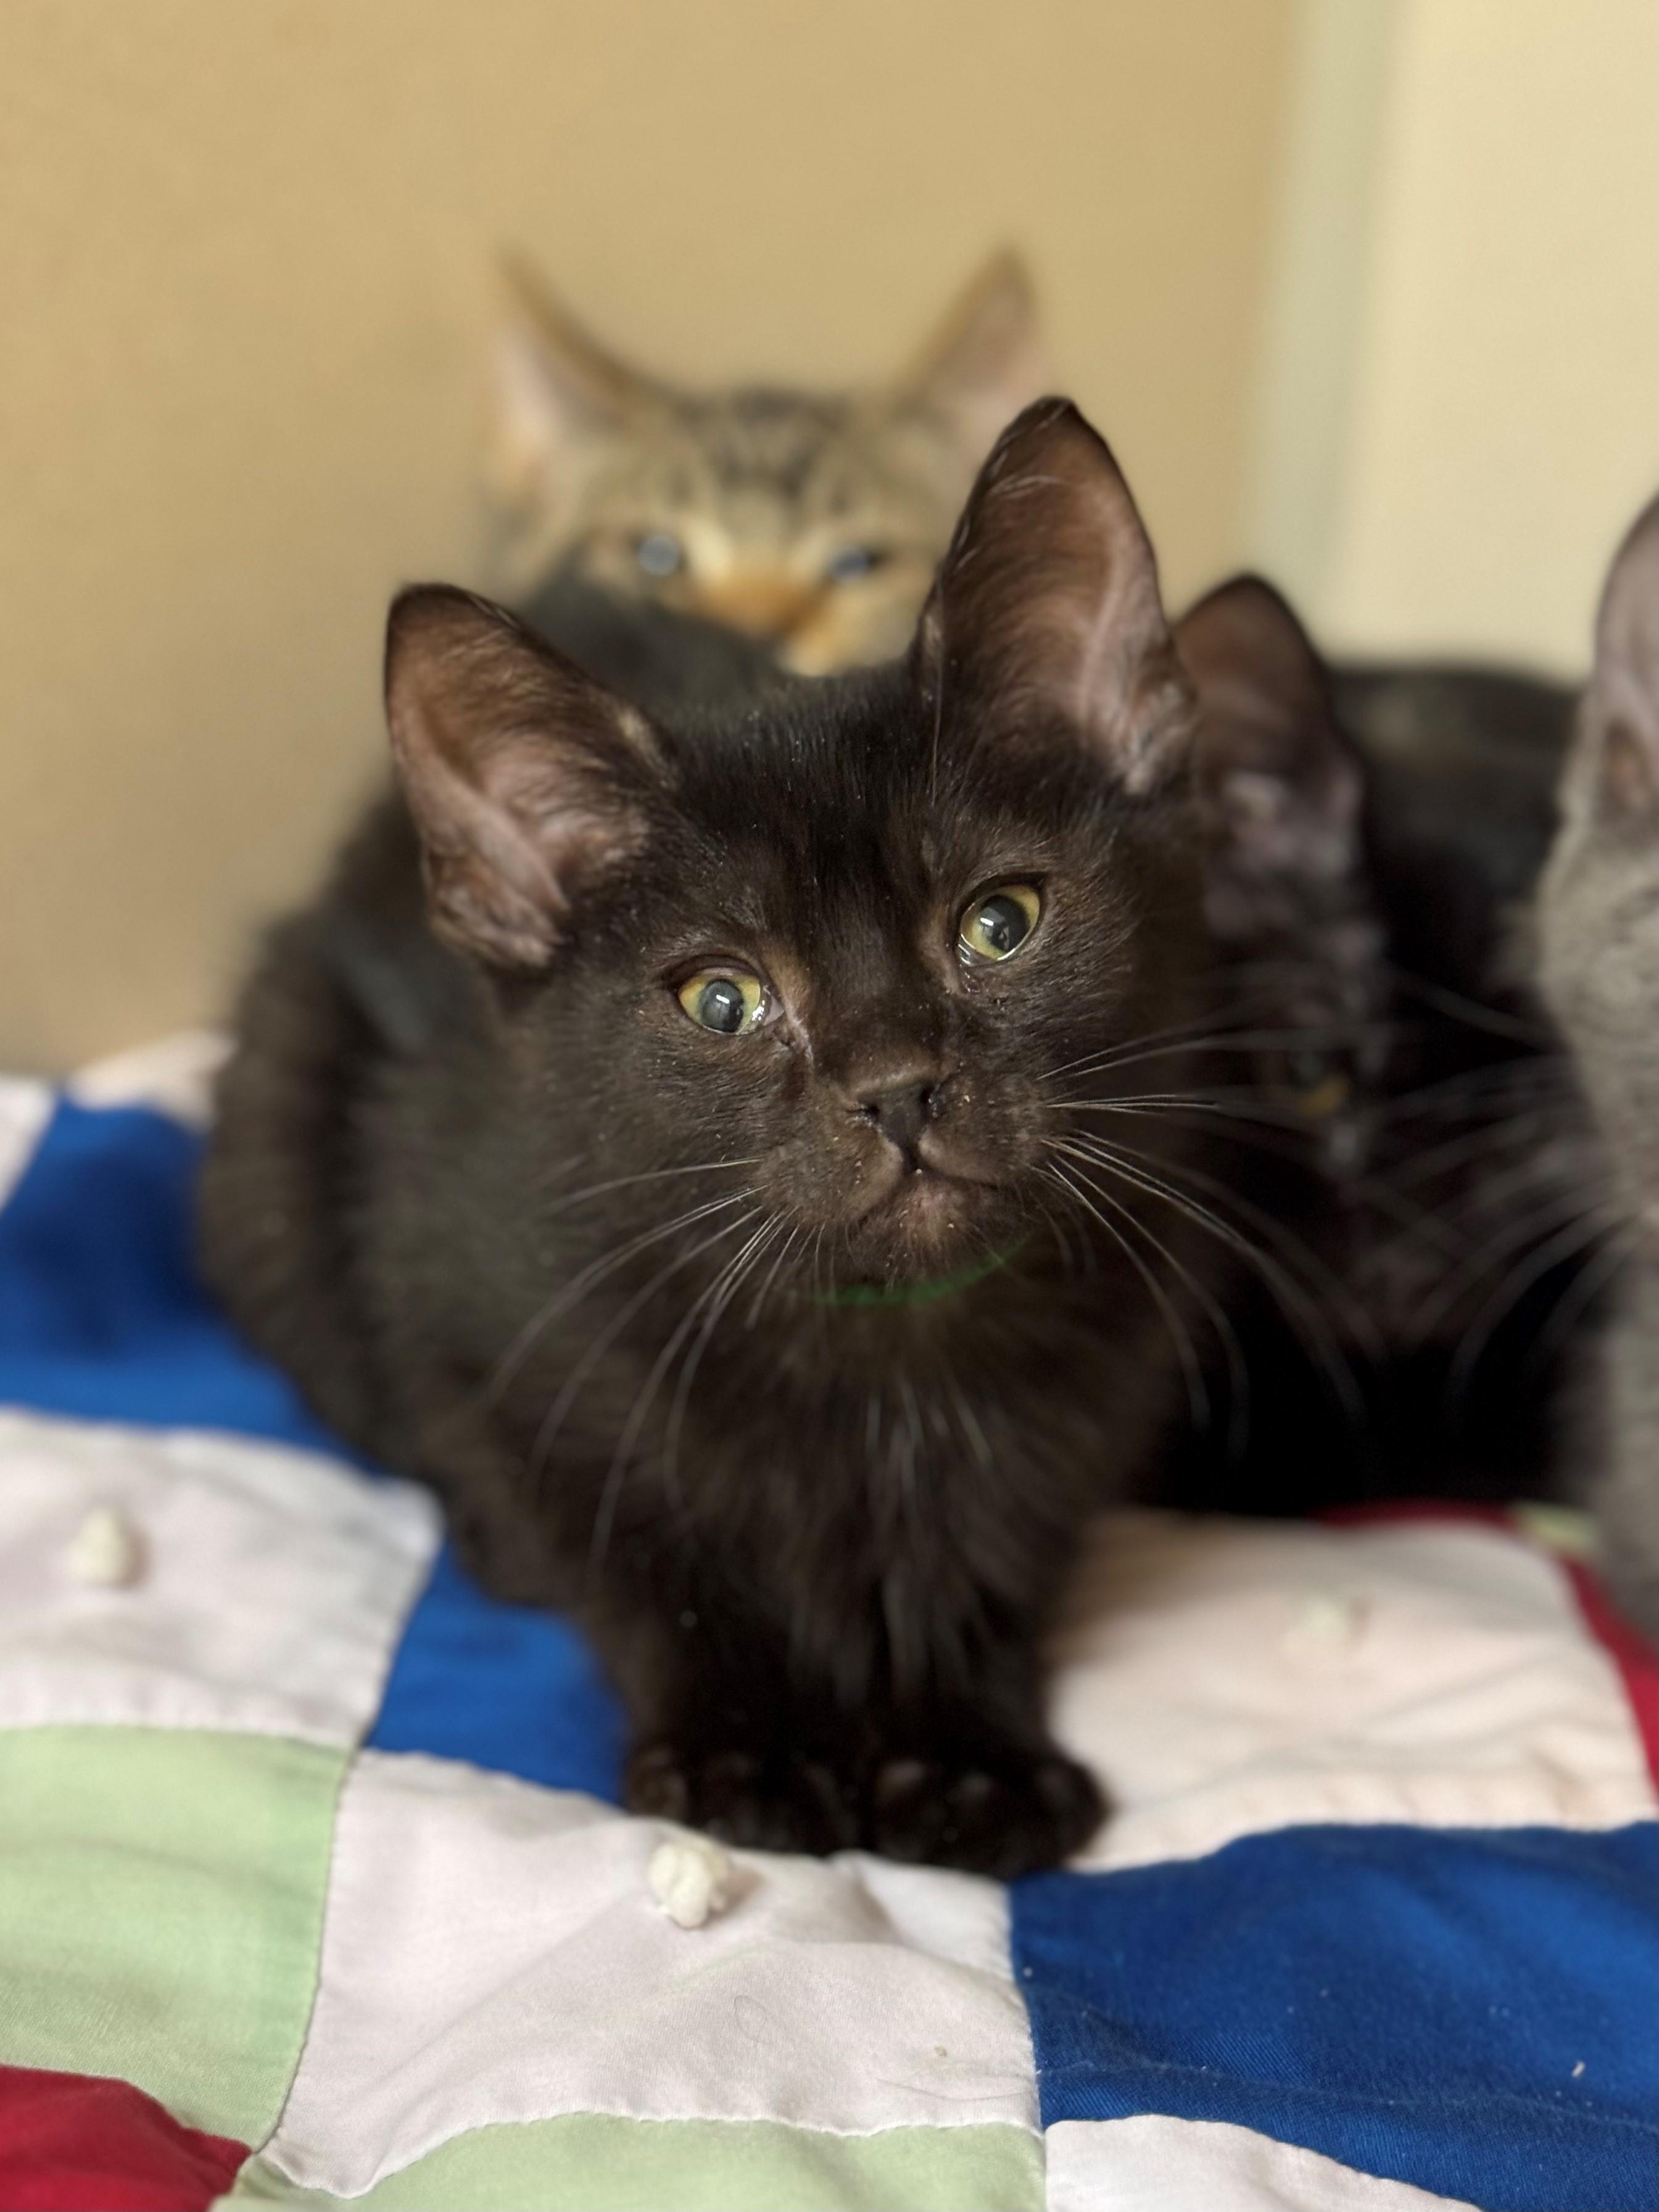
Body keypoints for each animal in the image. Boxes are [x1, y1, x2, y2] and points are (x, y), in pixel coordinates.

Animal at [198, 396, 1349, 1879]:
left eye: (1001, 922)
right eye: (722, 1000)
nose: (898, 1087)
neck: (888, 1344)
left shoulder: (1099, 1385)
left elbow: (994, 1558)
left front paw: (967, 1751)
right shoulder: (477, 1314)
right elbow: (638, 1553)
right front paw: (749, 1743)